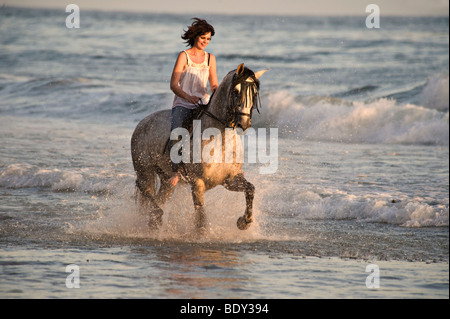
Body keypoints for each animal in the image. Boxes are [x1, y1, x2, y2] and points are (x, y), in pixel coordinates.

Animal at [130, 63, 266, 232]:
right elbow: (201, 216)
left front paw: (244, 221)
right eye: (236, 91)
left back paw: (153, 223)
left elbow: (250, 189)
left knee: (158, 197)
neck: (220, 141)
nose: (245, 123)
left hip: (167, 179)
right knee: (145, 189)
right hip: (144, 169)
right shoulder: (197, 182)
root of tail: (143, 122)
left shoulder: (230, 180)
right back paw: (157, 215)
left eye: (254, 93)